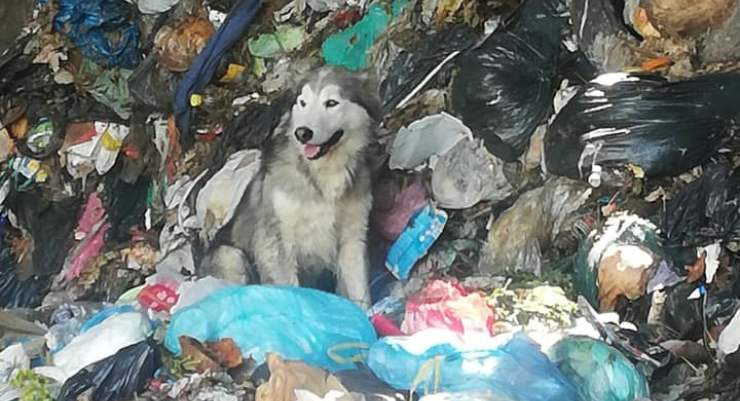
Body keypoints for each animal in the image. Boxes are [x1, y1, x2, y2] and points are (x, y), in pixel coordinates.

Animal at [204, 65, 382, 306]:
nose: (302, 133)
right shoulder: (275, 242)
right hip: (230, 256)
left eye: (331, 103)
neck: (322, 173)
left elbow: (359, 291)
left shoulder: (353, 239)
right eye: (303, 103)